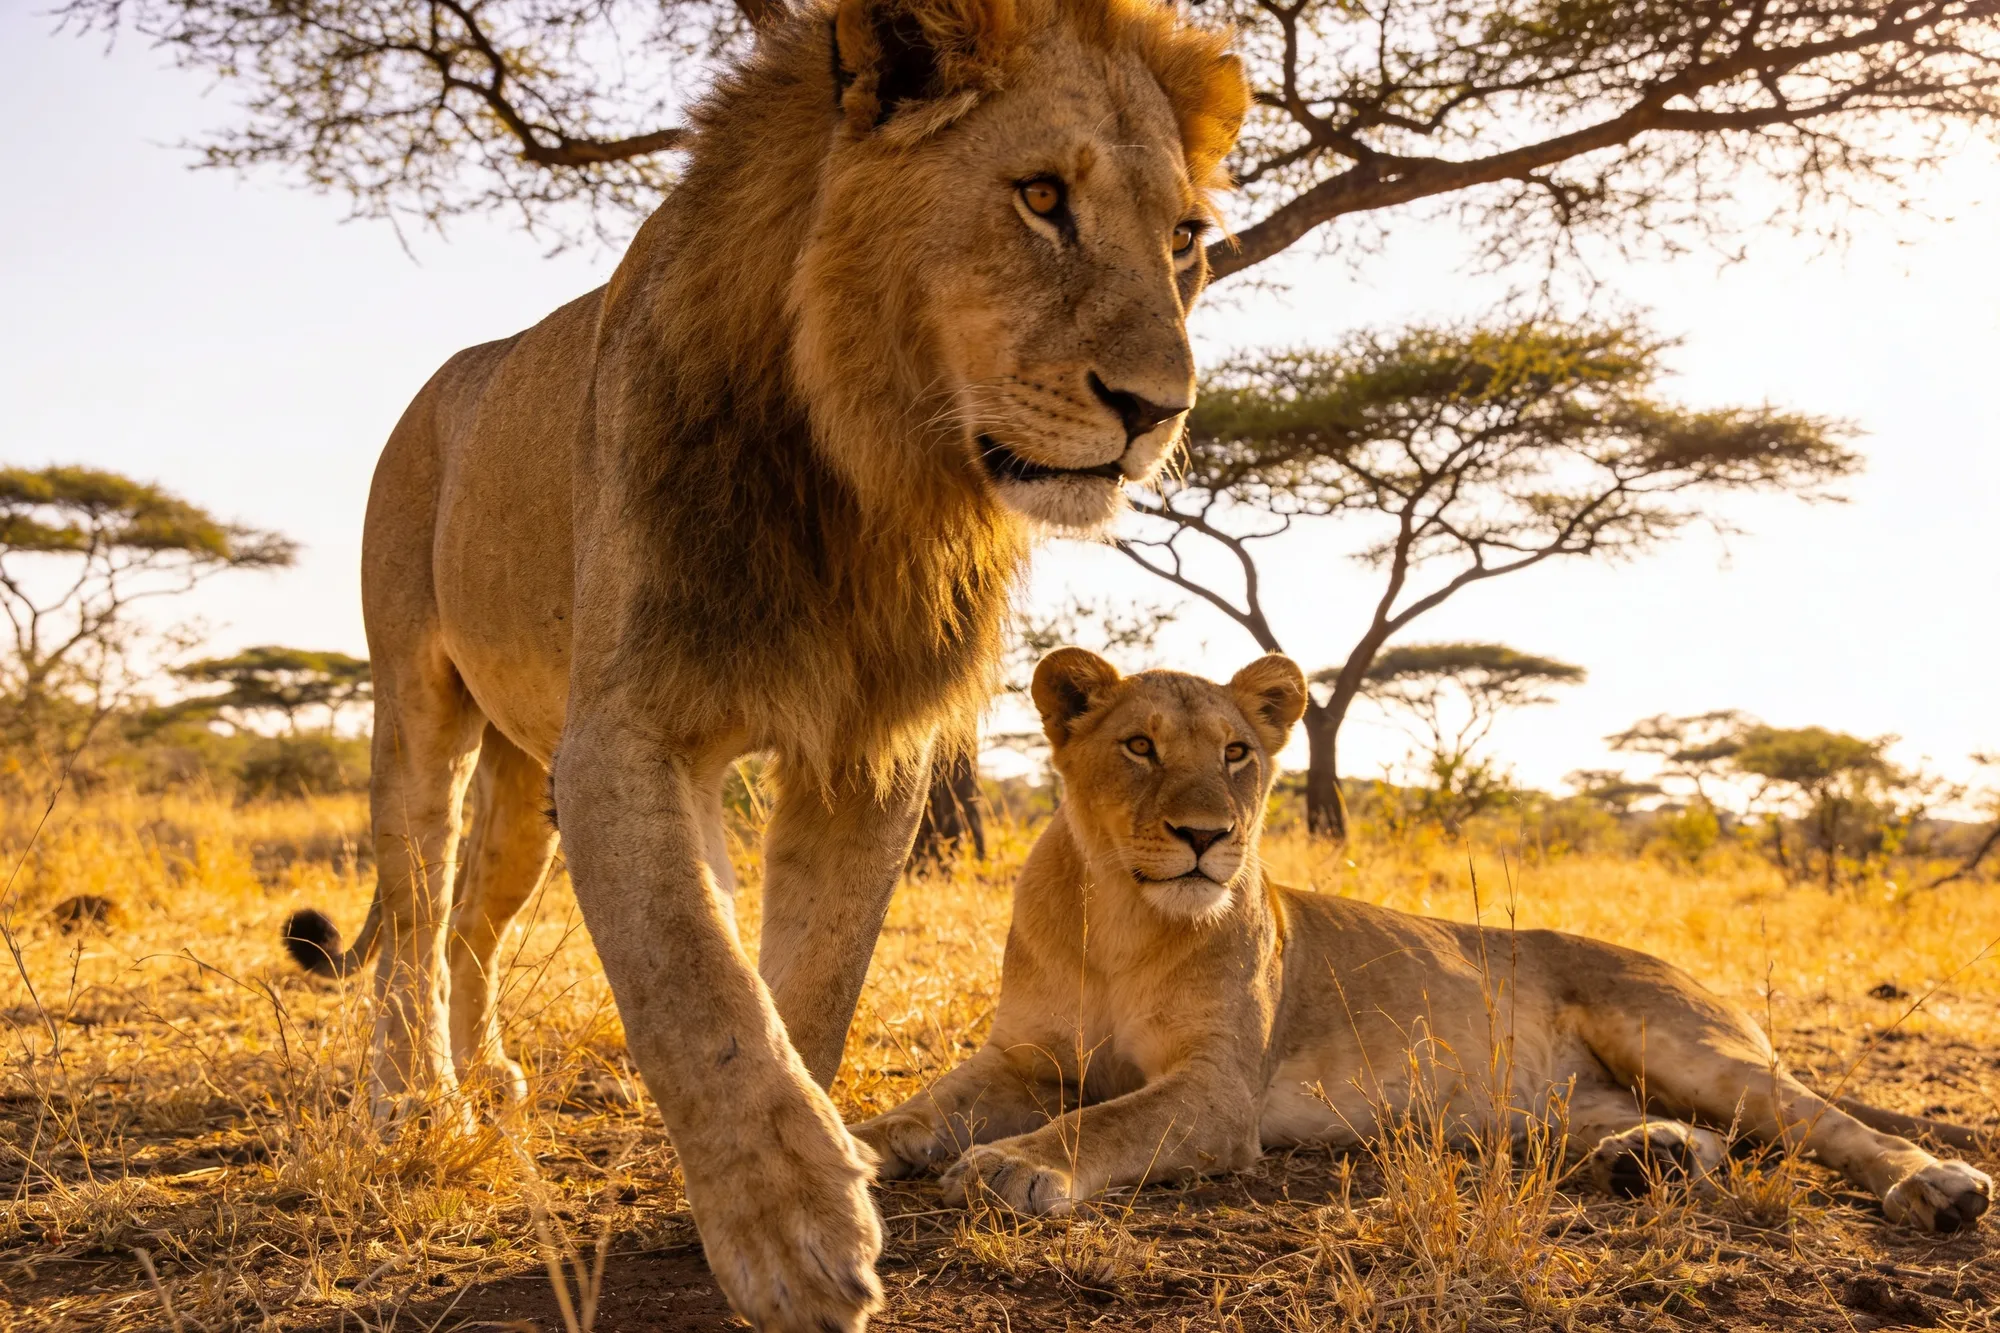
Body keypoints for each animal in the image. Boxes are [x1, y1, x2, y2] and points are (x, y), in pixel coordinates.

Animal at [276, 2, 1248, 1328]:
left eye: (1185, 238)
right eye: (1041, 196)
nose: (1157, 410)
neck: (866, 467)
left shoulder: (868, 747)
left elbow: (807, 985)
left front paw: (787, 1171)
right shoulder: (631, 730)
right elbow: (692, 975)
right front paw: (788, 1233)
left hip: (528, 778)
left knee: (473, 918)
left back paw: (492, 1083)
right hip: (417, 697)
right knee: (417, 909)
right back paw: (415, 1100)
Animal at [854, 649, 1993, 1234]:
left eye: (1235, 753)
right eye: (1137, 745)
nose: (1205, 837)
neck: (1121, 918)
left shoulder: (1218, 1093)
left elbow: (1107, 1121)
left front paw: (1010, 1165)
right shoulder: (1025, 1056)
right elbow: (922, 1109)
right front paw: (851, 1148)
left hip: (1684, 1039)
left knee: (1826, 1123)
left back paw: (1933, 1188)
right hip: (1553, 1101)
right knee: (1680, 1130)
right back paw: (1650, 1159)